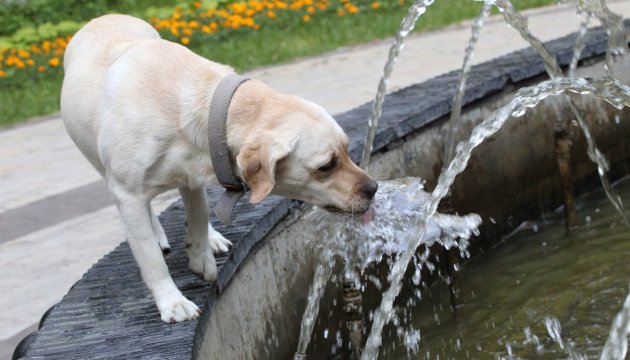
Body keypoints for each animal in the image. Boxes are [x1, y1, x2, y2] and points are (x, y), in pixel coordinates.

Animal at [60, 14, 376, 324]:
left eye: (347, 150)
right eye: (327, 165)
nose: (373, 188)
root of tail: (104, 17)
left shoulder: (193, 172)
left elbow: (199, 214)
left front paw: (200, 256)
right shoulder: (127, 192)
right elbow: (150, 256)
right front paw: (172, 302)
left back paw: (211, 239)